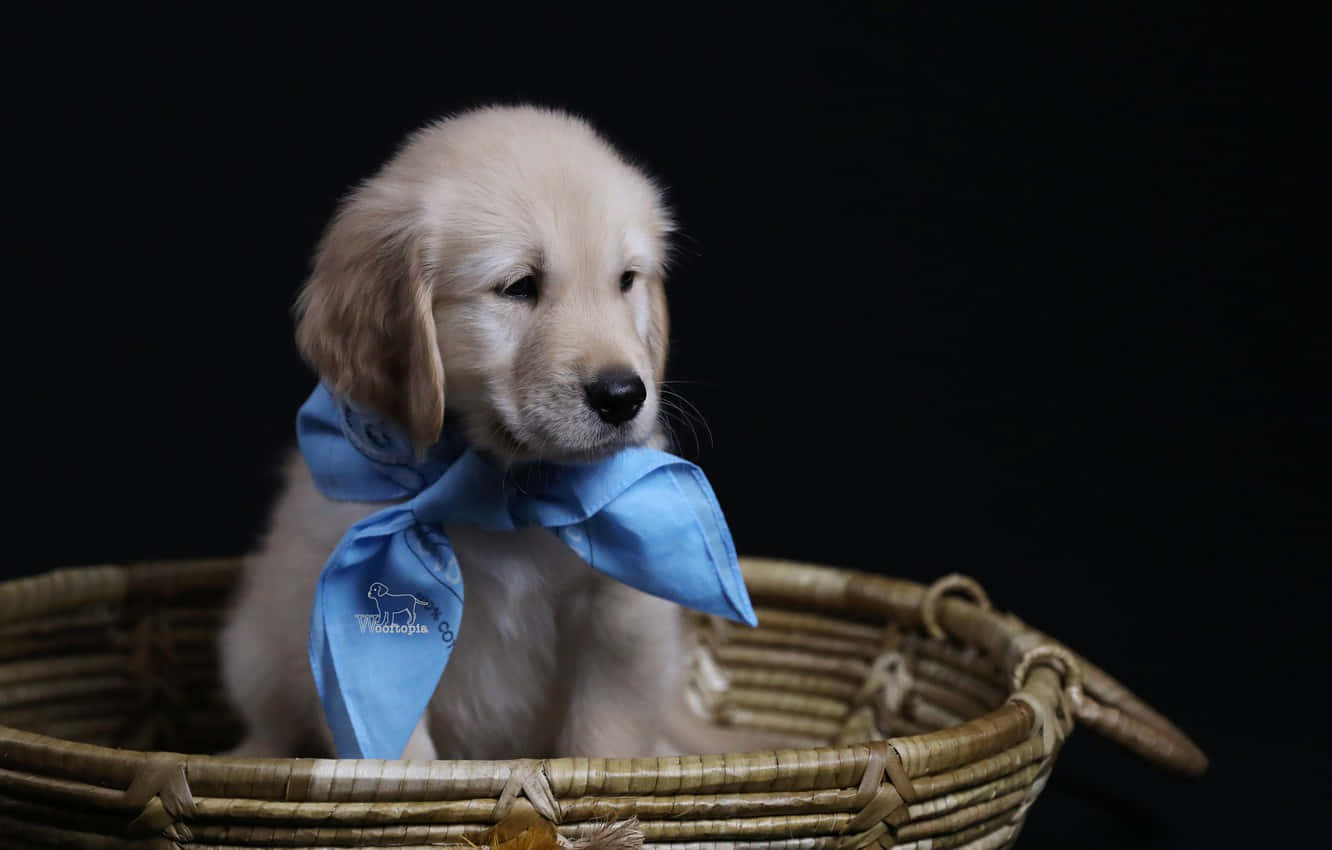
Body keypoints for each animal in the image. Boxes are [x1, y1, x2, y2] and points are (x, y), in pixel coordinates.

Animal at [221, 103, 740, 762]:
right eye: (519, 286)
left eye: (626, 280)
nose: (624, 396)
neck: (501, 492)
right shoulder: (346, 617)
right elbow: (397, 748)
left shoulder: (621, 620)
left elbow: (604, 734)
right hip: (254, 648)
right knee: (268, 720)